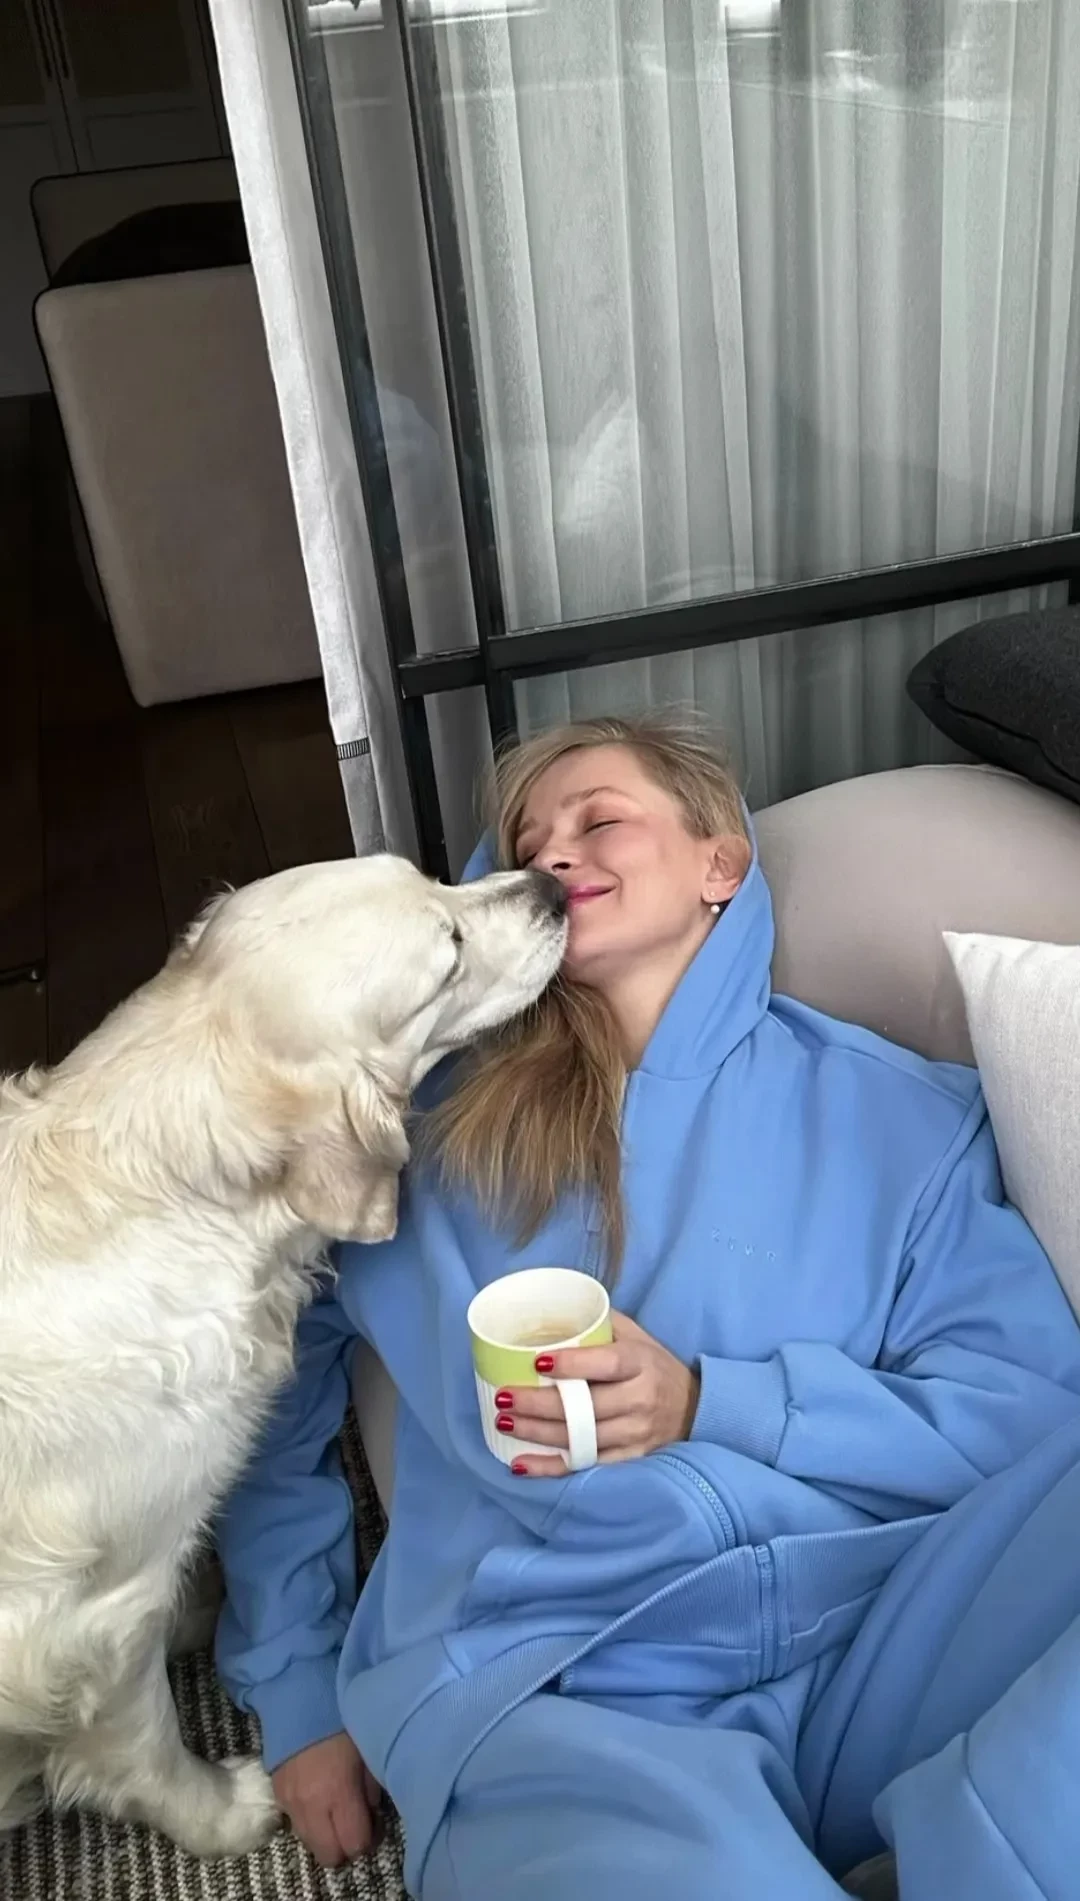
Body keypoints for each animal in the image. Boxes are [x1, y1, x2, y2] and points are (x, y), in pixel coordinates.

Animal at [0, 854, 567, 1858]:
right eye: (450, 950)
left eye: (430, 879)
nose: (552, 885)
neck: (173, 1191)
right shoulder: (91, 1615)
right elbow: (142, 1739)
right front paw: (224, 1811)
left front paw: (200, 1605)